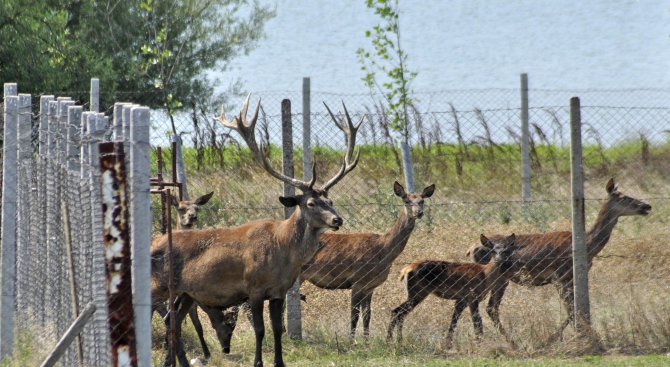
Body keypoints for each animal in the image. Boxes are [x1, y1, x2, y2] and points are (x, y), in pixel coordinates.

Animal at [152, 98, 362, 367]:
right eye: (310, 203)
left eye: (331, 200)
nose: (337, 219)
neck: (282, 251)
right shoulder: (253, 288)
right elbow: (260, 330)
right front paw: (258, 362)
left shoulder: (279, 291)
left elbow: (277, 329)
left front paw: (280, 362)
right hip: (162, 285)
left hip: (187, 292)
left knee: (173, 319)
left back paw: (173, 362)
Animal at [304, 181, 436, 340]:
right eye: (406, 200)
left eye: (422, 201)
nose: (419, 212)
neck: (382, 251)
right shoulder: (357, 281)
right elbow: (354, 315)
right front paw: (352, 342)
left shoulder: (370, 286)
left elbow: (367, 315)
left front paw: (366, 342)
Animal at [386, 234, 524, 346]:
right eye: (493, 251)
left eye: (506, 251)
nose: (499, 260)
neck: (485, 275)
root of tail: (405, 271)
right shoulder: (472, 296)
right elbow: (477, 322)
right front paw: (479, 344)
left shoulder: (461, 299)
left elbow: (454, 321)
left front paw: (448, 344)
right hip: (418, 291)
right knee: (397, 312)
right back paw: (390, 341)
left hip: (416, 293)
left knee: (399, 313)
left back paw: (398, 341)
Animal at [468, 178, 652, 342]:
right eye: (624, 197)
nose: (647, 206)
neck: (588, 248)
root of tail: (470, 249)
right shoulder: (559, 276)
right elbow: (571, 310)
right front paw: (560, 338)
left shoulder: (570, 278)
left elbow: (574, 310)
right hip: (496, 277)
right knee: (488, 307)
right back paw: (508, 341)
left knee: (490, 308)